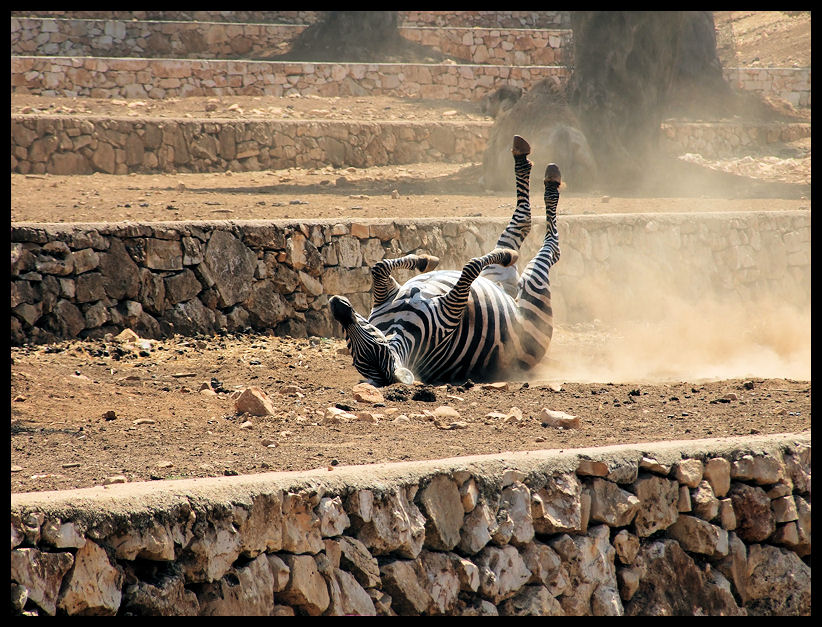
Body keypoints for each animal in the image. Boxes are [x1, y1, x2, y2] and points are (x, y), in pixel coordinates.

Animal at [329, 135, 561, 386]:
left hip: (498, 275)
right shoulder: (451, 310)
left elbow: (379, 266)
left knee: (519, 226)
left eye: (372, 336)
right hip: (535, 295)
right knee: (544, 243)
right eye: (357, 345)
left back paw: (526, 159)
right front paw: (508, 255)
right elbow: (470, 267)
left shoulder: (385, 294)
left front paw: (425, 260)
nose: (336, 304)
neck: (400, 326)